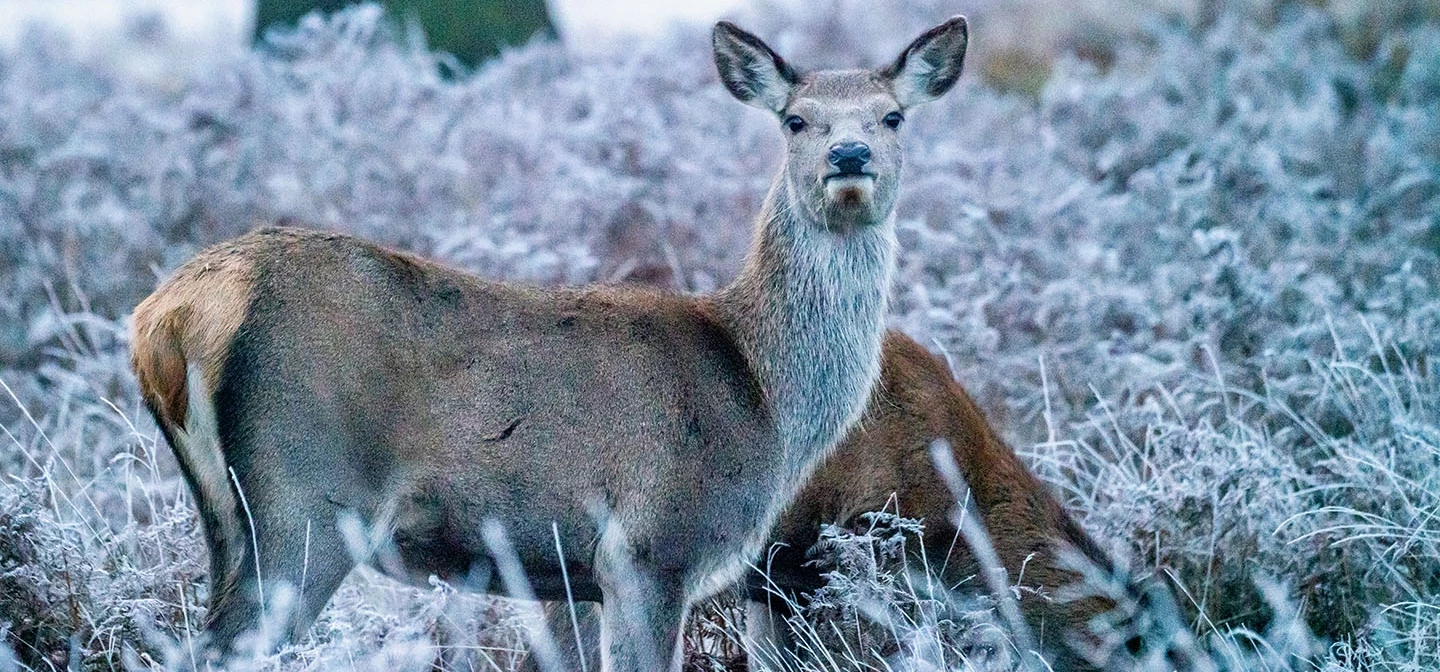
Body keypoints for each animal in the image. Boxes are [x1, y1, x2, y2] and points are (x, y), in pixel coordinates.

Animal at [129, 16, 970, 672]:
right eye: (796, 119)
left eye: (893, 116)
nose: (850, 157)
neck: (762, 395)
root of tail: (166, 317)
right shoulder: (650, 544)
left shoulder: (569, 575)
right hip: (306, 496)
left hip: (225, 517)